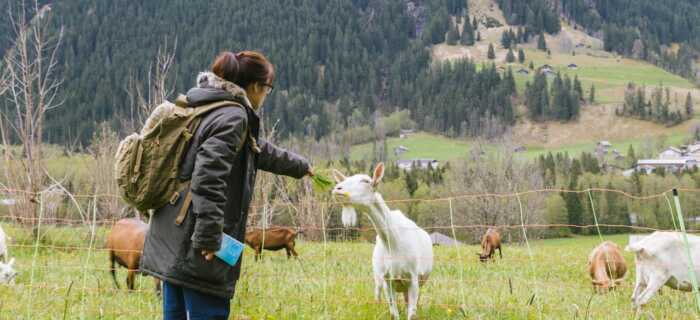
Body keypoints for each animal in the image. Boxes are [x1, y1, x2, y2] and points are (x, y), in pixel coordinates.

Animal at [332, 164, 432, 318]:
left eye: (366, 181)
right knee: (378, 293)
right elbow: (393, 313)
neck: (394, 241)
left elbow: (411, 312)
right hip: (378, 277)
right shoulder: (387, 280)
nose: (338, 189)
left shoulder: (413, 279)